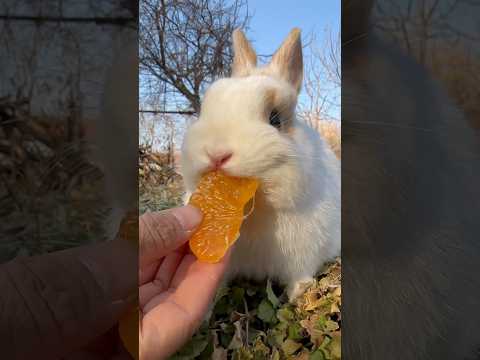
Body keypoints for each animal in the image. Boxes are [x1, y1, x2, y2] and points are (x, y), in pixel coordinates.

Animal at [180, 27, 342, 300]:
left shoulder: (304, 255)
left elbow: (299, 275)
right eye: (206, 109)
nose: (216, 154)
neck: (259, 211)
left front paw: (297, 293)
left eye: (275, 119)